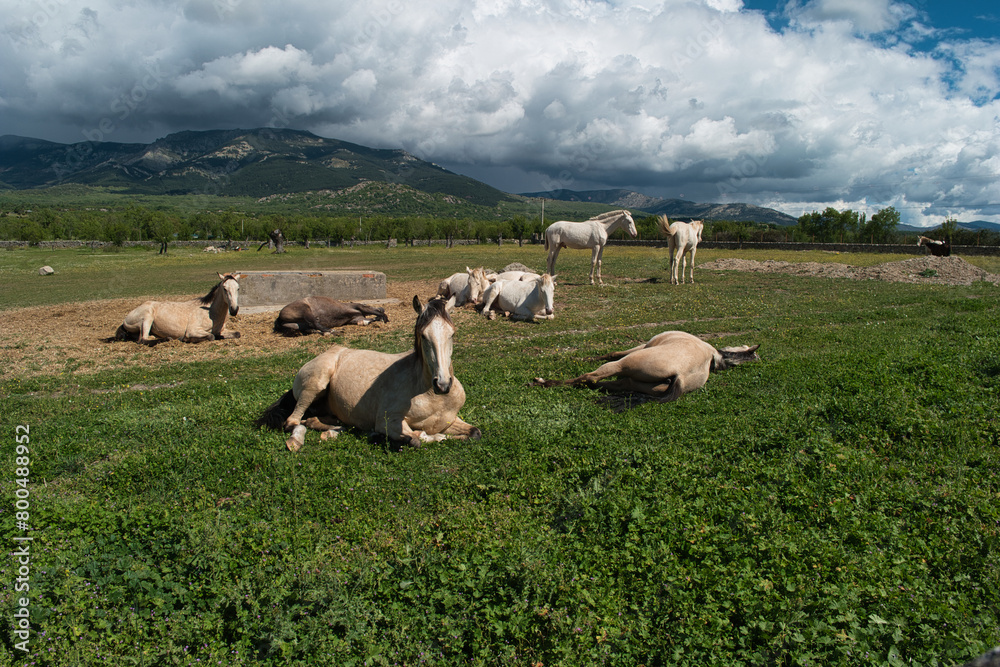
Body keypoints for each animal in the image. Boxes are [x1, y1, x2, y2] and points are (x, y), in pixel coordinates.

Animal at [255, 295, 481, 451]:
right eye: (423, 336)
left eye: (453, 333)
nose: (442, 385)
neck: (430, 396)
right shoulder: (387, 421)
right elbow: (415, 439)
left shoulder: (450, 420)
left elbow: (475, 433)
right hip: (315, 384)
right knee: (292, 422)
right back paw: (296, 442)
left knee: (314, 421)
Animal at [533, 331, 759, 406]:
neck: (712, 356)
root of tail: (681, 376)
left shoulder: (641, 346)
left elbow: (612, 353)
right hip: (634, 382)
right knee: (608, 383)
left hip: (625, 364)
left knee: (590, 377)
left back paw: (542, 382)